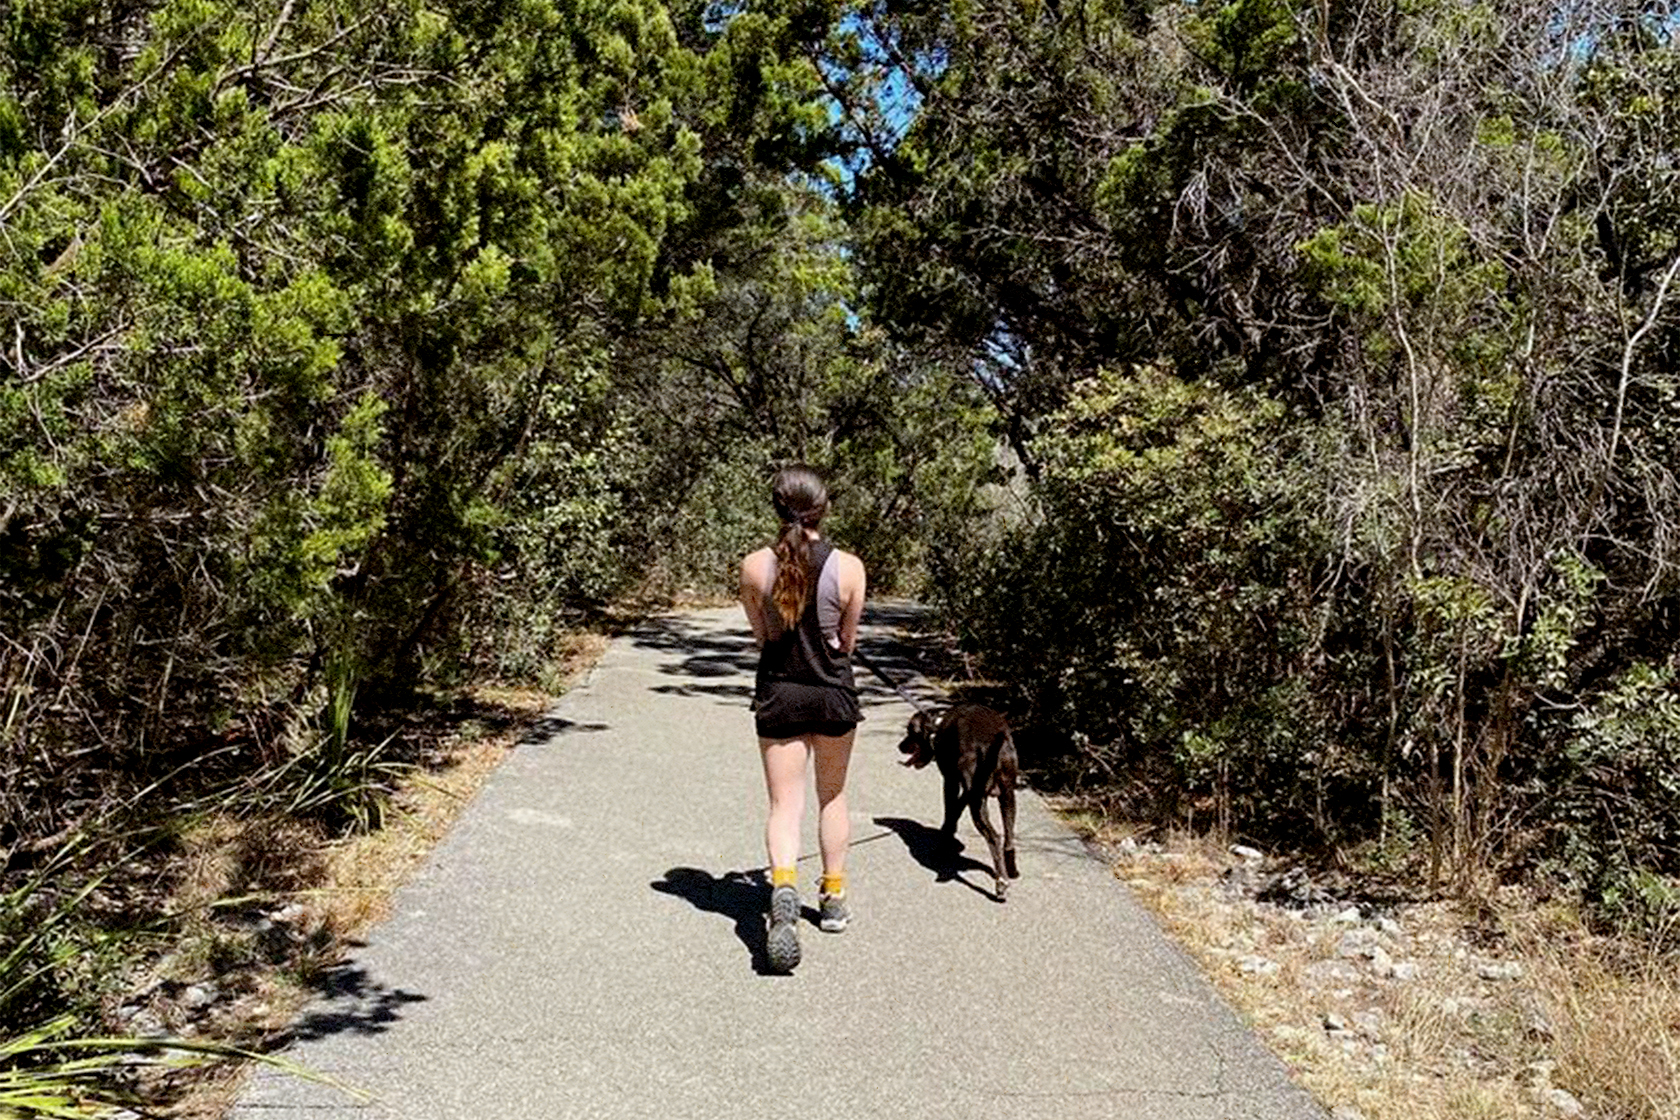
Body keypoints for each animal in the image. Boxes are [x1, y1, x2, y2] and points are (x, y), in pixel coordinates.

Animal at [900, 705, 1014, 900]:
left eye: (910, 731)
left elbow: (950, 811)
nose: (900, 746)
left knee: (994, 838)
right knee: (1008, 837)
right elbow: (956, 810)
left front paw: (943, 843)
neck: (937, 725)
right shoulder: (968, 791)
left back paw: (1001, 884)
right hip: (1007, 795)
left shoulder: (950, 782)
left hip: (978, 804)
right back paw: (1010, 870)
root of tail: (993, 740)